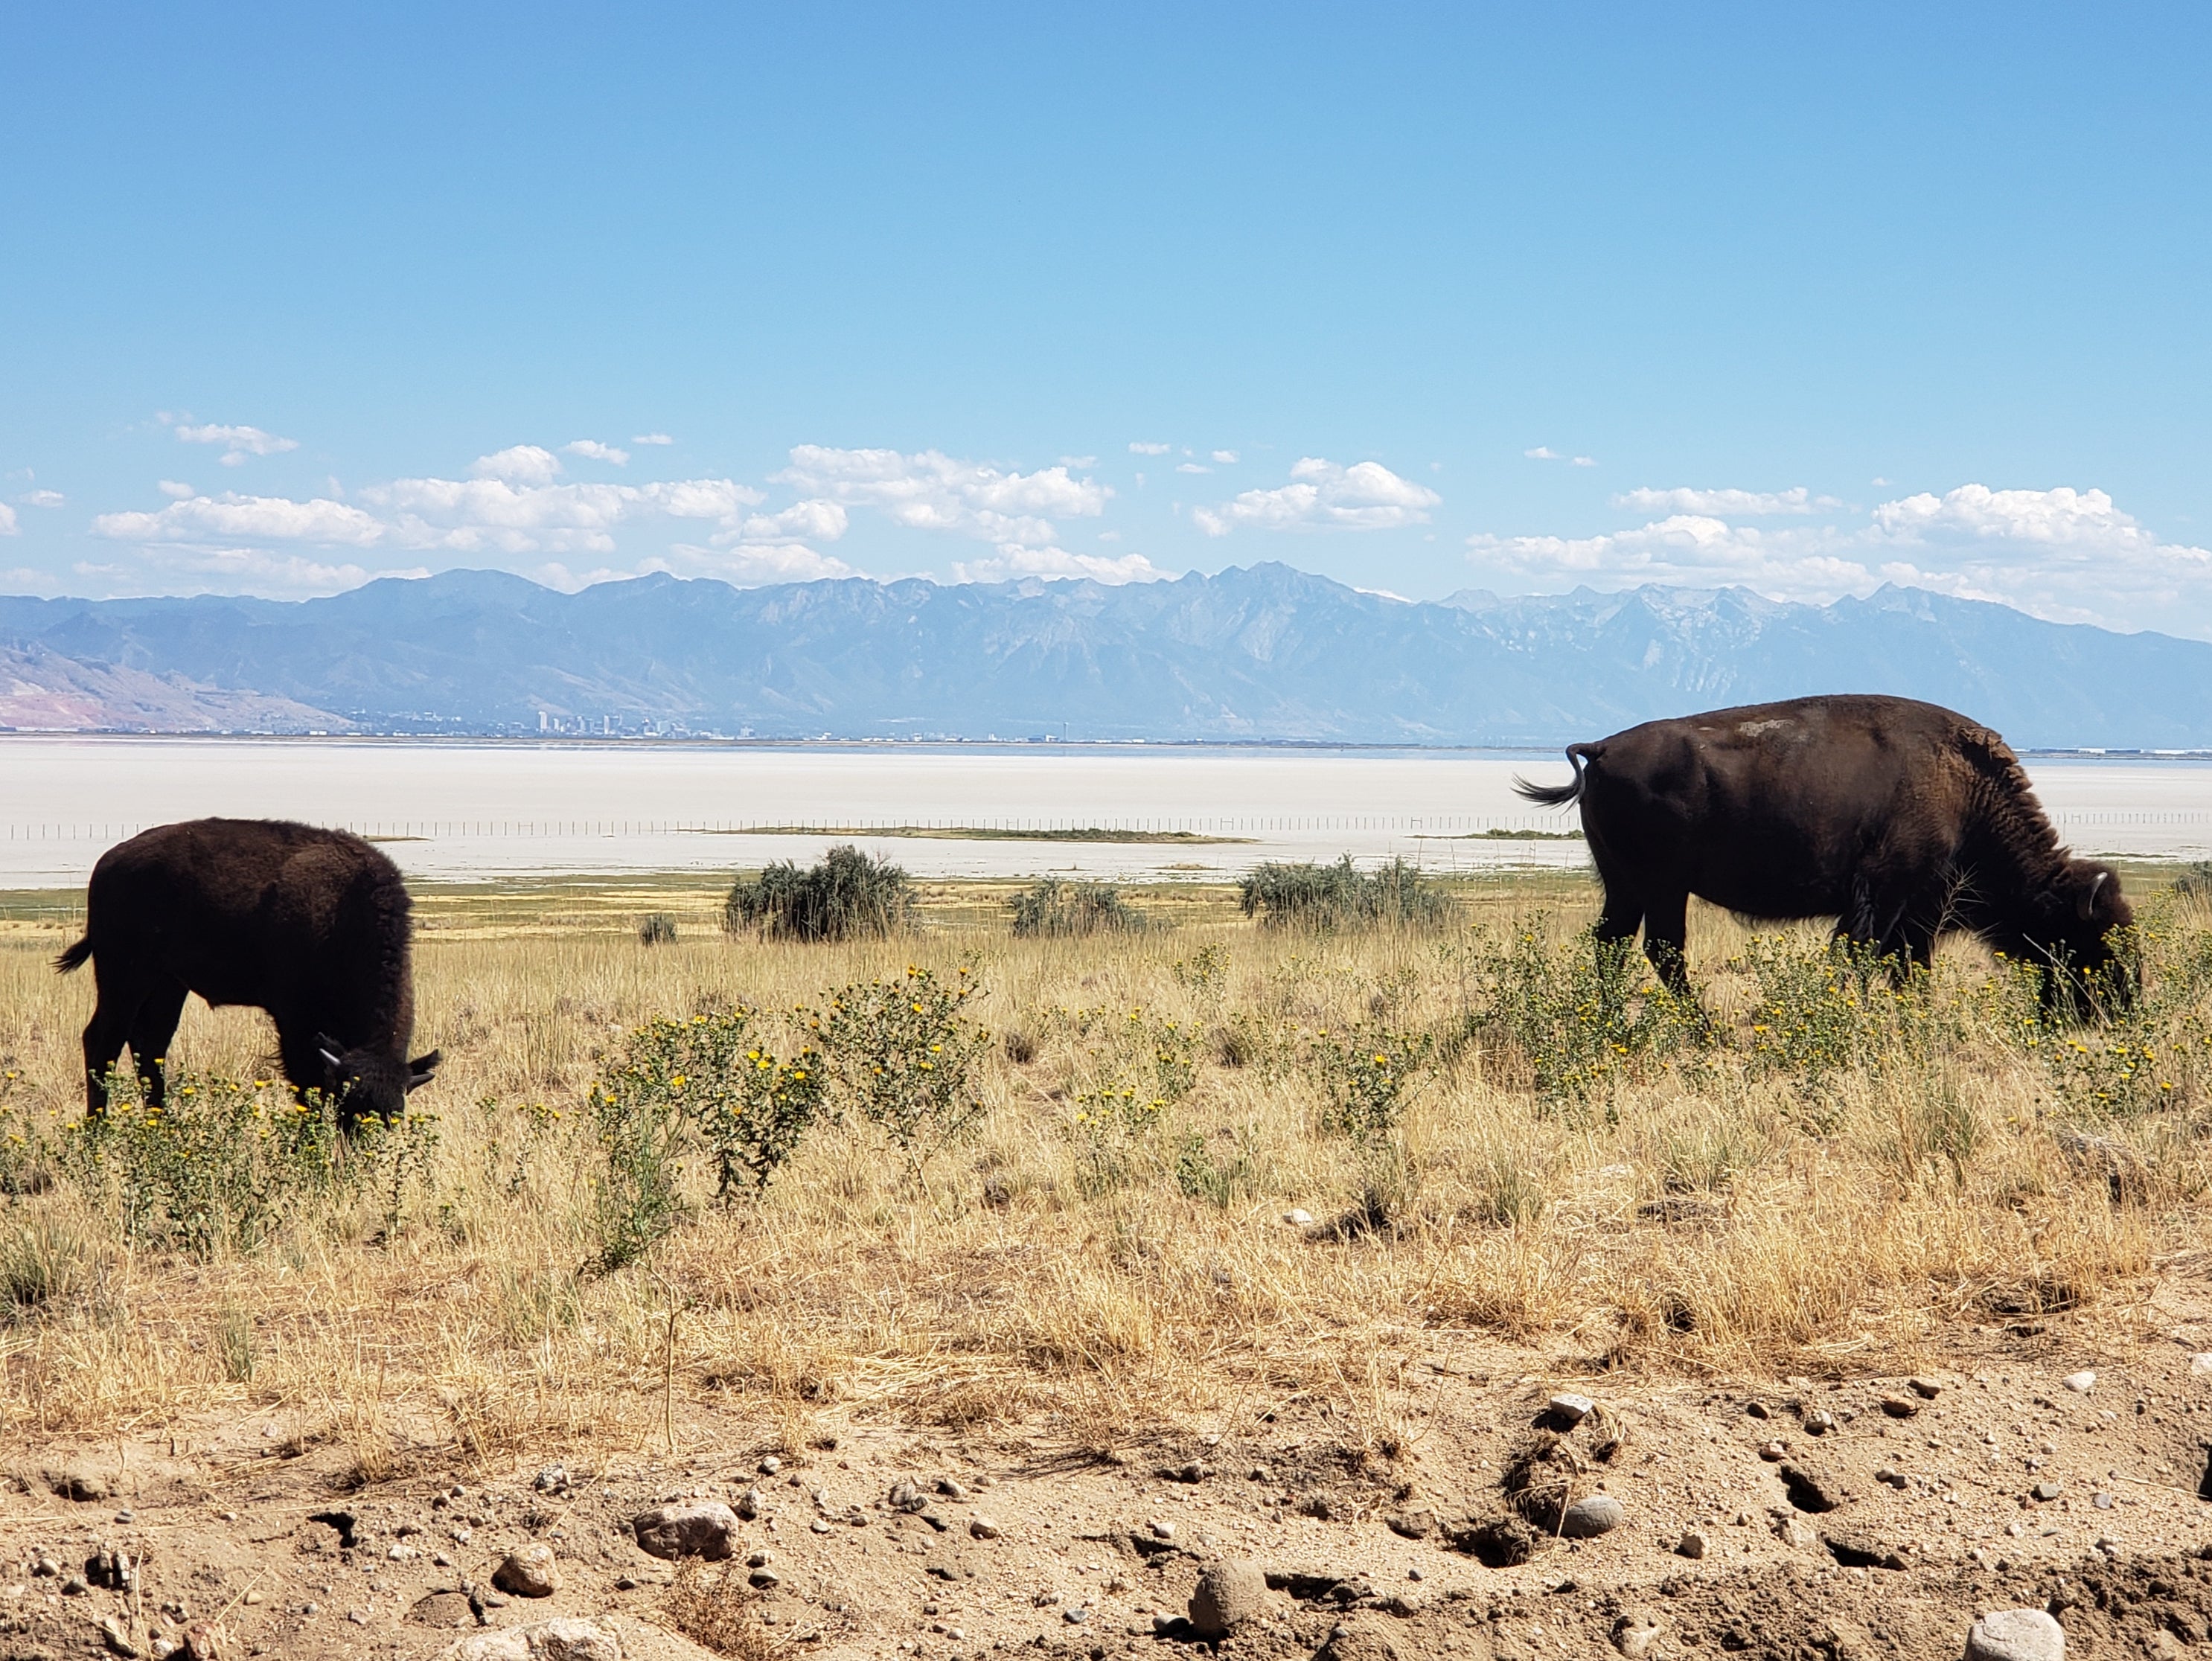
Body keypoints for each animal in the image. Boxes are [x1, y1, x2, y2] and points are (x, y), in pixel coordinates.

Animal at [56, 818, 442, 1132]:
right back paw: (98, 1130)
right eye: (349, 1107)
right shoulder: (294, 1020)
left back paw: (159, 1125)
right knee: (103, 1041)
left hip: (167, 984)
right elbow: (308, 1084)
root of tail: (109, 862)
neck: (342, 915)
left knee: (150, 1045)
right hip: (124, 976)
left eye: (395, 1115)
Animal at [1512, 690, 2132, 1013]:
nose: (2119, 1006)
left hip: (1626, 884)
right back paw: (1704, 1031)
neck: (1963, 786)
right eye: (2091, 938)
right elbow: (1865, 958)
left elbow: (1909, 968)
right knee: (1662, 950)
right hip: (1664, 886)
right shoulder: (1883, 901)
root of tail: (1601, 749)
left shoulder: (1915, 917)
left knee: (1614, 943)